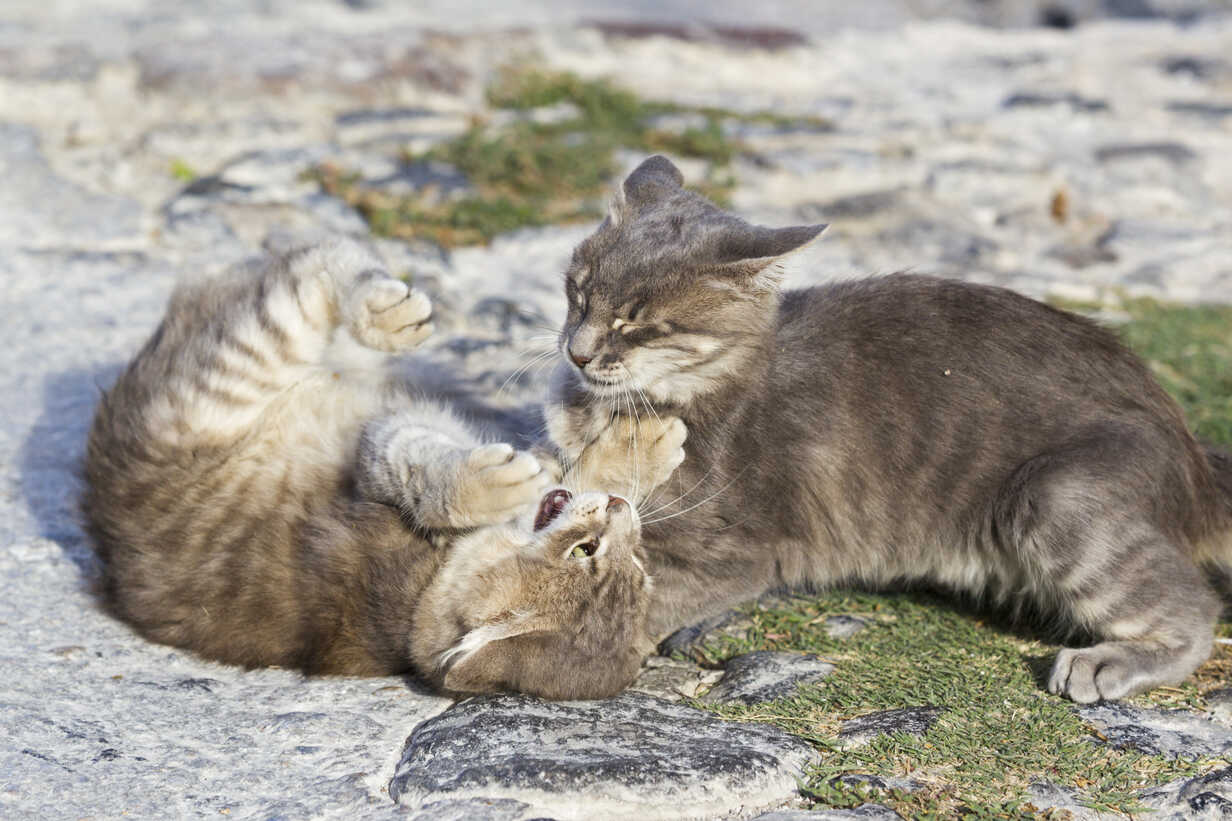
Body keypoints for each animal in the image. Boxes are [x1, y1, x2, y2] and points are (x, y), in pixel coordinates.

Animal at [81, 236, 689, 695]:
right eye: (587, 552)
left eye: (636, 568)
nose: (618, 511)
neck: (423, 590)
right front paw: (633, 449)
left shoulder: (383, 442)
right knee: (321, 262)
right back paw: (386, 309)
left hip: (221, 382)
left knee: (305, 275)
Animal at [547, 155, 1232, 705]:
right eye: (578, 292)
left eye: (637, 322)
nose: (577, 352)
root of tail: (1192, 451)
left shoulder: (732, 548)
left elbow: (633, 593)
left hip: (1058, 496)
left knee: (1193, 608)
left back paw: (1109, 661)